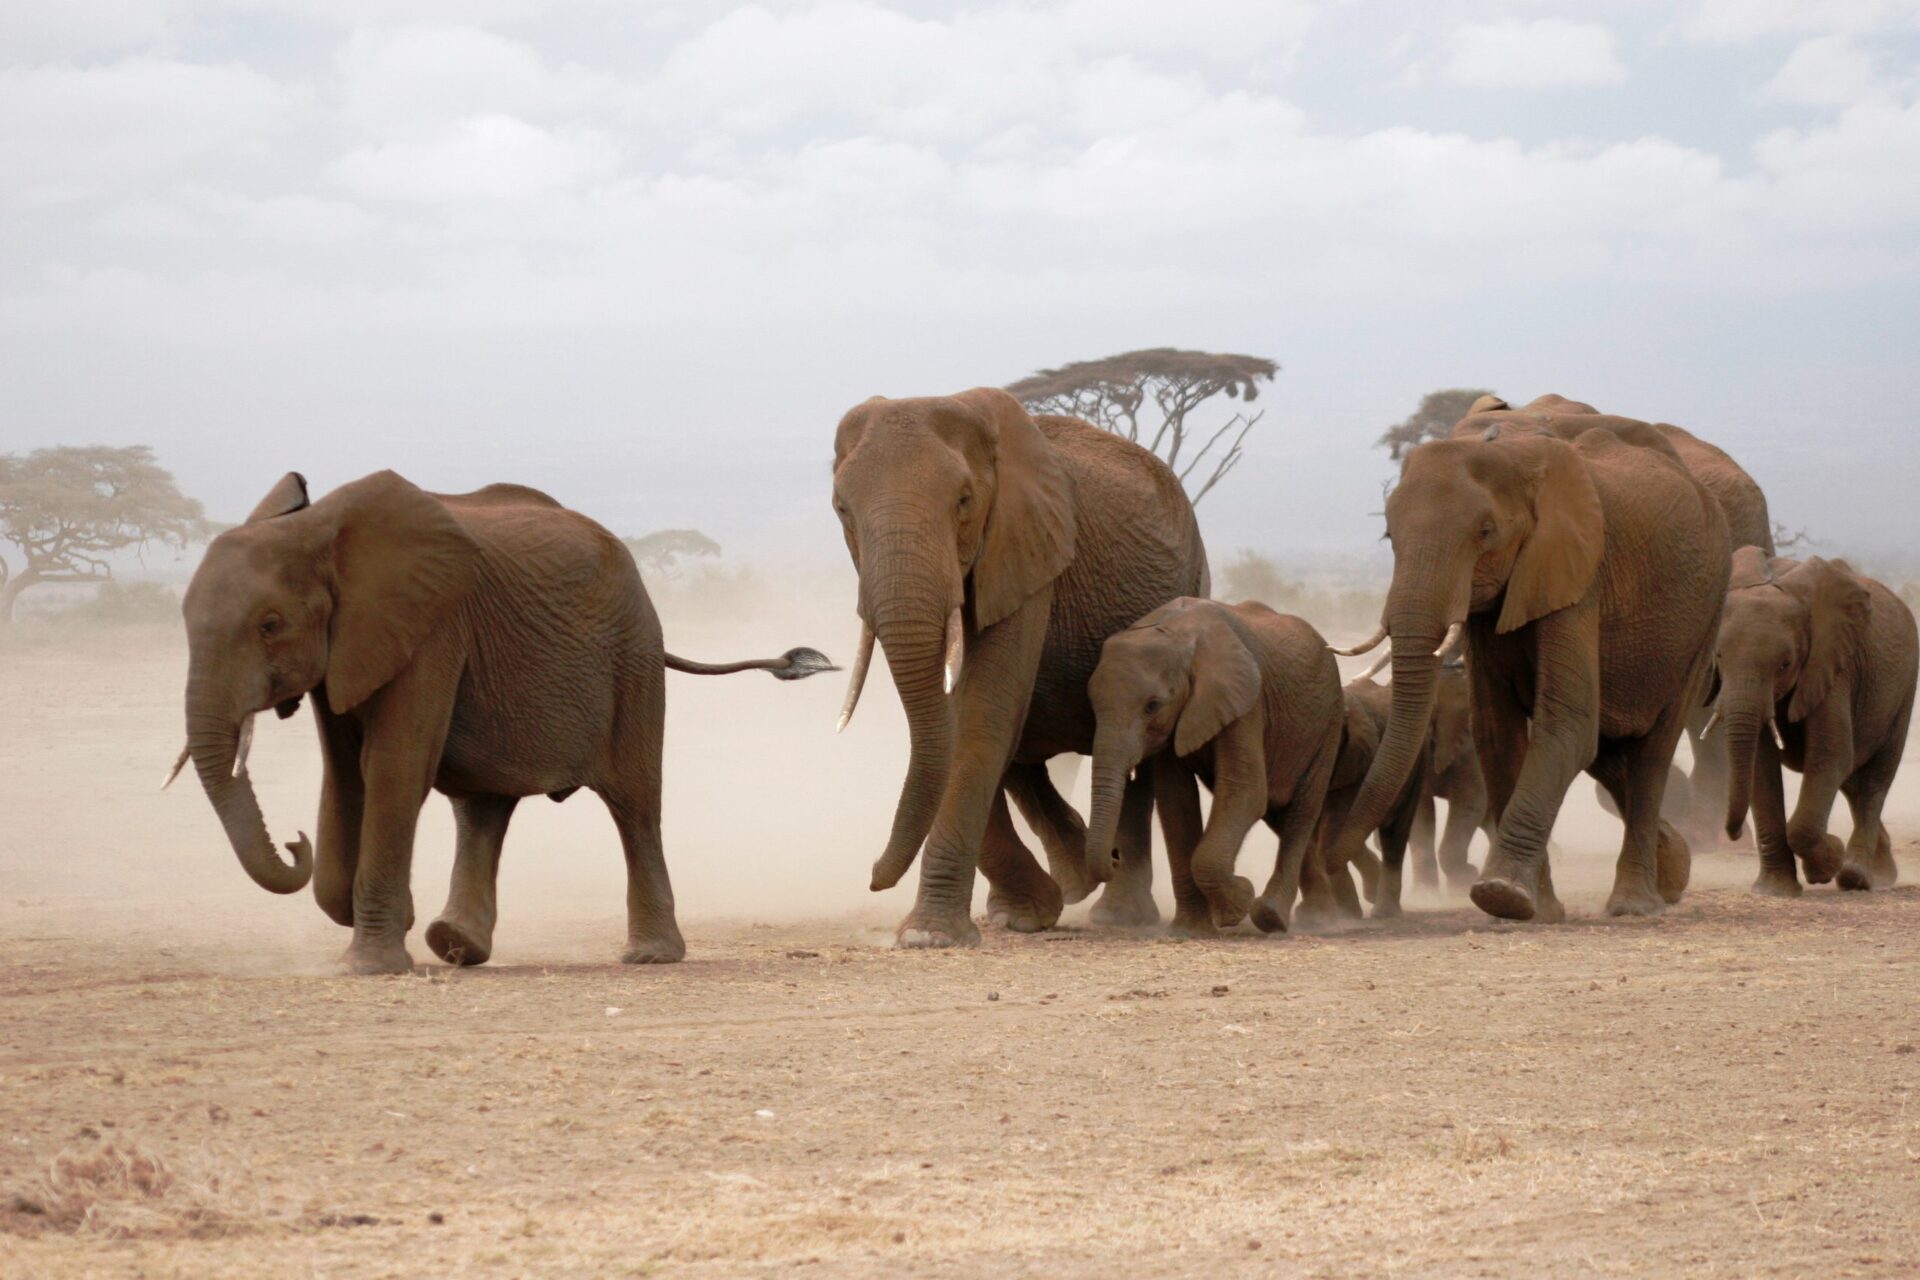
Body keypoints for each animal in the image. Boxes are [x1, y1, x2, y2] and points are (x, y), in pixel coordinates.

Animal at [171, 470, 830, 974]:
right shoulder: (351, 647)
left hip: (634, 655)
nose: (291, 841)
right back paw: (456, 945)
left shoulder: (432, 627)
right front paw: (385, 921)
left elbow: (394, 768)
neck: (319, 532)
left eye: (269, 625)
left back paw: (647, 957)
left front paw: (372, 965)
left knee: (636, 803)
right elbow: (346, 776)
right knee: (482, 808)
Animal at [831, 388, 1209, 947]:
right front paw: (1025, 914)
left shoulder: (1026, 551)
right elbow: (966, 722)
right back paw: (1074, 874)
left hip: (1196, 577)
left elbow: (982, 714)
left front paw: (928, 936)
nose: (875, 876)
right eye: (841, 509)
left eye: (964, 501)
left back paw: (1115, 908)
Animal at [1080, 598, 1342, 936]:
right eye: (1092, 704)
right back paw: (1322, 918)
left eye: (1152, 705)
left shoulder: (1246, 703)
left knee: (1301, 811)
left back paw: (1274, 917)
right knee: (1280, 815)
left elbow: (1246, 791)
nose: (1114, 857)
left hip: (1329, 723)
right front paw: (1189, 931)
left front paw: (1238, 902)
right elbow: (1176, 802)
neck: (1173, 631)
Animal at [1339, 412, 1730, 922]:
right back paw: (1674, 871)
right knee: (1609, 751)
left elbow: (1566, 726)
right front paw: (1538, 910)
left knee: (1651, 751)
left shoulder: (1578, 573)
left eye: (1485, 531)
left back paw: (1634, 904)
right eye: (1389, 536)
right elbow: (1497, 733)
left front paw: (1499, 895)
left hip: (1704, 619)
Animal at [1714, 548, 1918, 896]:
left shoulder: (1833, 666)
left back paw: (1857, 877)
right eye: (1717, 658)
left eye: (1785, 664)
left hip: (1903, 689)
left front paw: (1828, 862)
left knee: (1874, 778)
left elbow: (1829, 754)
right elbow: (1762, 764)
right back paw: (1882, 871)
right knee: (1852, 779)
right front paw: (1775, 891)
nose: (1734, 834)